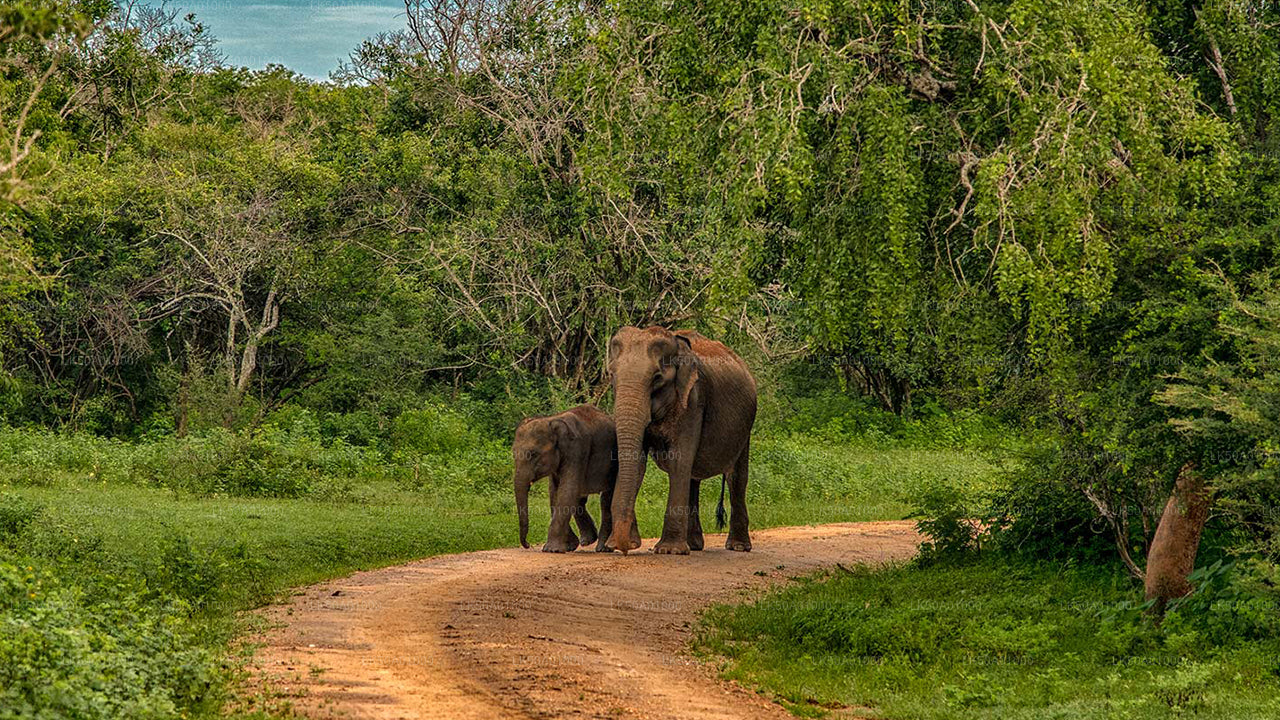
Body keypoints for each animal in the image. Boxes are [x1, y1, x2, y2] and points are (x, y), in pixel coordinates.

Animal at [512, 404, 640, 548]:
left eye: (534, 454)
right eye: (513, 453)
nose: (528, 544)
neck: (552, 420)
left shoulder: (577, 450)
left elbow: (567, 490)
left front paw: (552, 549)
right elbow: (555, 493)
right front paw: (569, 546)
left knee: (606, 499)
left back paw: (604, 547)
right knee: (581, 499)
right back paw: (588, 541)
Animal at [604, 325, 752, 556]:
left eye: (657, 378)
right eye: (612, 375)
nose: (624, 549)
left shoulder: (693, 402)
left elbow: (678, 460)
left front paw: (669, 551)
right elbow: (638, 463)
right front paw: (618, 545)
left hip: (746, 427)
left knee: (735, 477)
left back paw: (738, 547)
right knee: (693, 477)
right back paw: (694, 545)